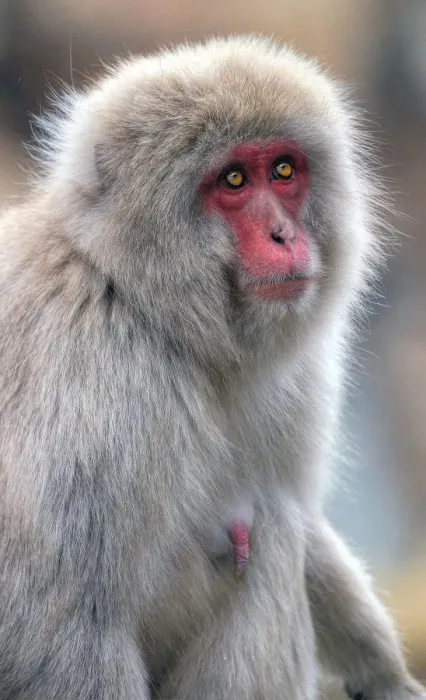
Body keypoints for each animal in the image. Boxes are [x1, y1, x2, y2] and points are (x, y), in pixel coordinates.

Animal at [0, 35, 424, 700]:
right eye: (233, 180)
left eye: (284, 170)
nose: (283, 236)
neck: (142, 301)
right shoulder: (94, 389)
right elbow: (60, 620)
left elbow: (301, 512)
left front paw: (383, 674)